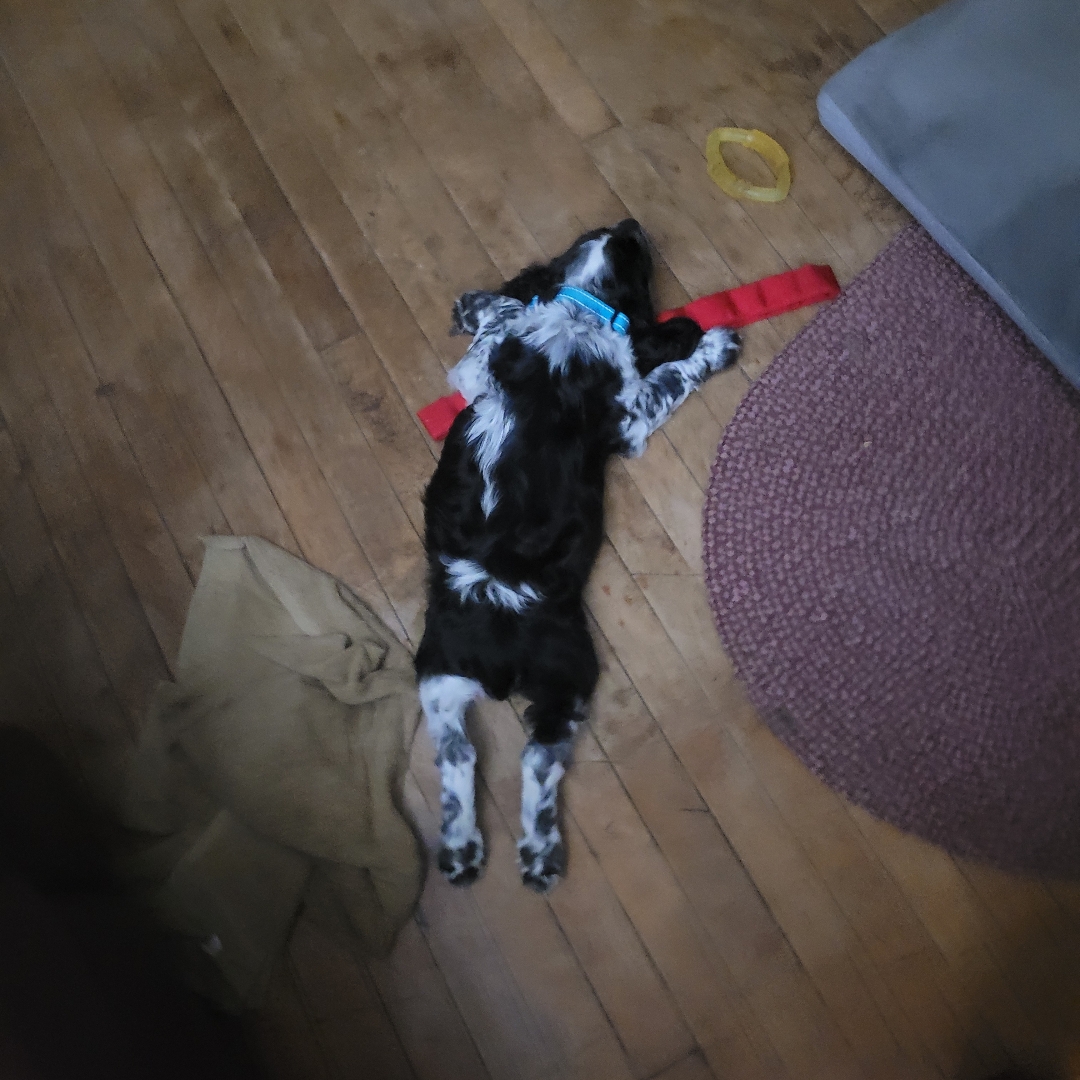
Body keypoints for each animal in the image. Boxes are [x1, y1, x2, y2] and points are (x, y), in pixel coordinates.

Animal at [416, 219, 740, 891]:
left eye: (600, 231)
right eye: (638, 258)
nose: (632, 222)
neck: (580, 308)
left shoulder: (476, 367)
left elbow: (500, 317)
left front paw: (473, 304)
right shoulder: (631, 414)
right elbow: (669, 376)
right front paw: (715, 344)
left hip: (436, 670)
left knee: (458, 753)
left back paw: (461, 851)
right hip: (569, 677)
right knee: (538, 762)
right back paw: (539, 855)